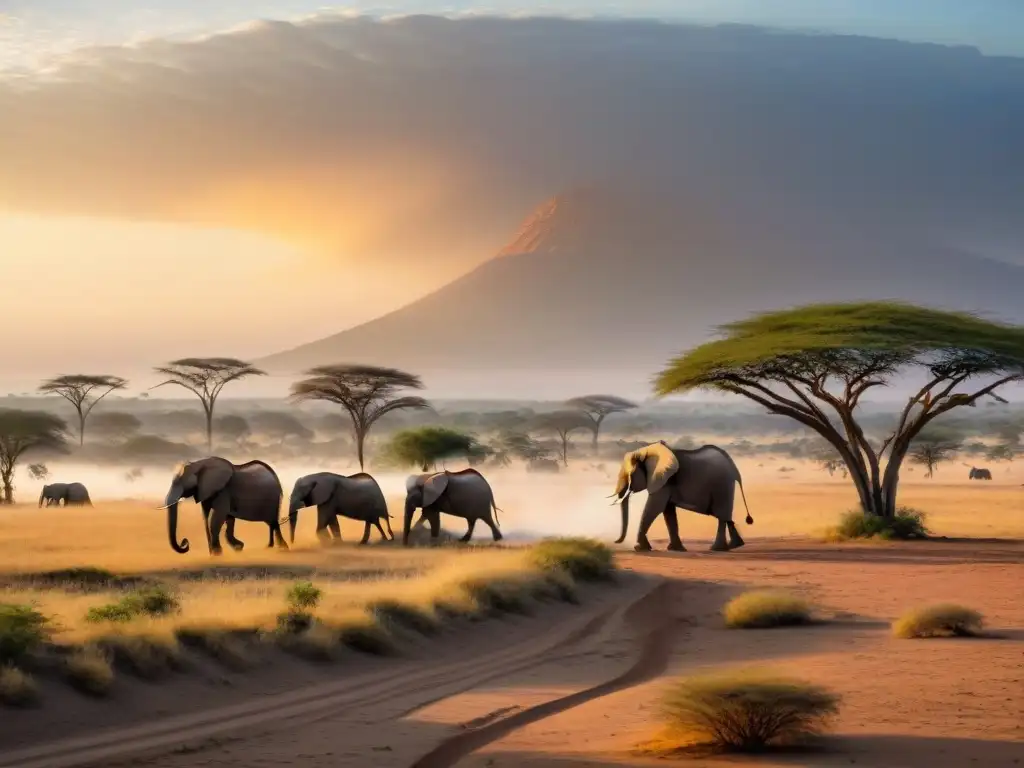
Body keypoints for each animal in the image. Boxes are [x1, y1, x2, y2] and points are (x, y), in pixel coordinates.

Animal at [159, 460, 288, 557]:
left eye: (180, 482)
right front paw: (236, 548)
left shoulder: (223, 491)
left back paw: (282, 548)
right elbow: (212, 518)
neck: (199, 464)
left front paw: (217, 553)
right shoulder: (206, 491)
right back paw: (270, 547)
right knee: (270, 523)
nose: (185, 542)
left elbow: (217, 518)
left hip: (273, 499)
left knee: (273, 522)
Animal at [610, 442, 757, 557]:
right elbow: (668, 512)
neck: (645, 451)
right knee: (726, 517)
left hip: (722, 486)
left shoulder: (664, 481)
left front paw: (640, 549)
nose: (616, 541)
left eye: (629, 476)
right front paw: (676, 549)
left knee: (721, 516)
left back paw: (717, 549)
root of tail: (734, 468)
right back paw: (735, 545)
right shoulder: (665, 482)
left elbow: (655, 508)